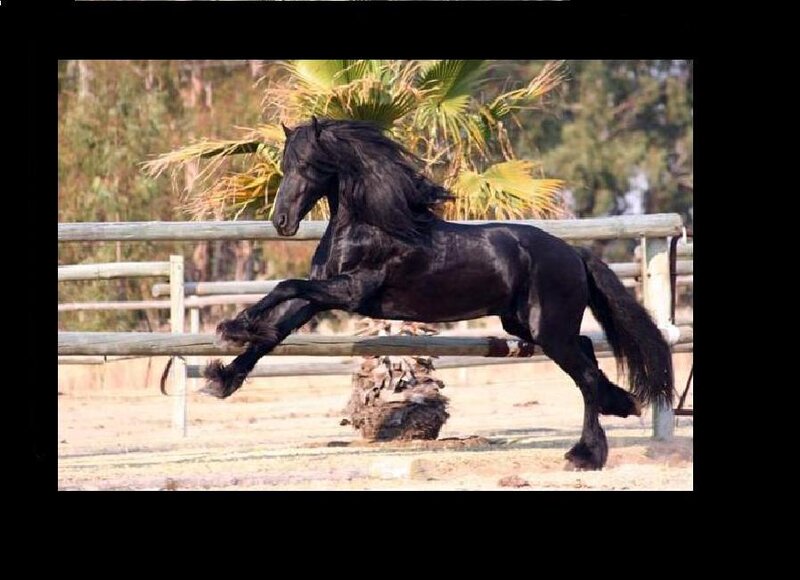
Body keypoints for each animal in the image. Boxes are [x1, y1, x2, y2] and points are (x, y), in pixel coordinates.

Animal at [201, 116, 674, 470]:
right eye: (285, 164)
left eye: (310, 165)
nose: (281, 222)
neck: (373, 225)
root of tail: (574, 253)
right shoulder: (323, 294)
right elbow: (279, 326)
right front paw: (223, 376)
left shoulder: (350, 293)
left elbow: (285, 285)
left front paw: (233, 328)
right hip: (527, 326)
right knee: (589, 357)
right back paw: (621, 405)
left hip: (549, 331)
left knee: (587, 377)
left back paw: (586, 455)